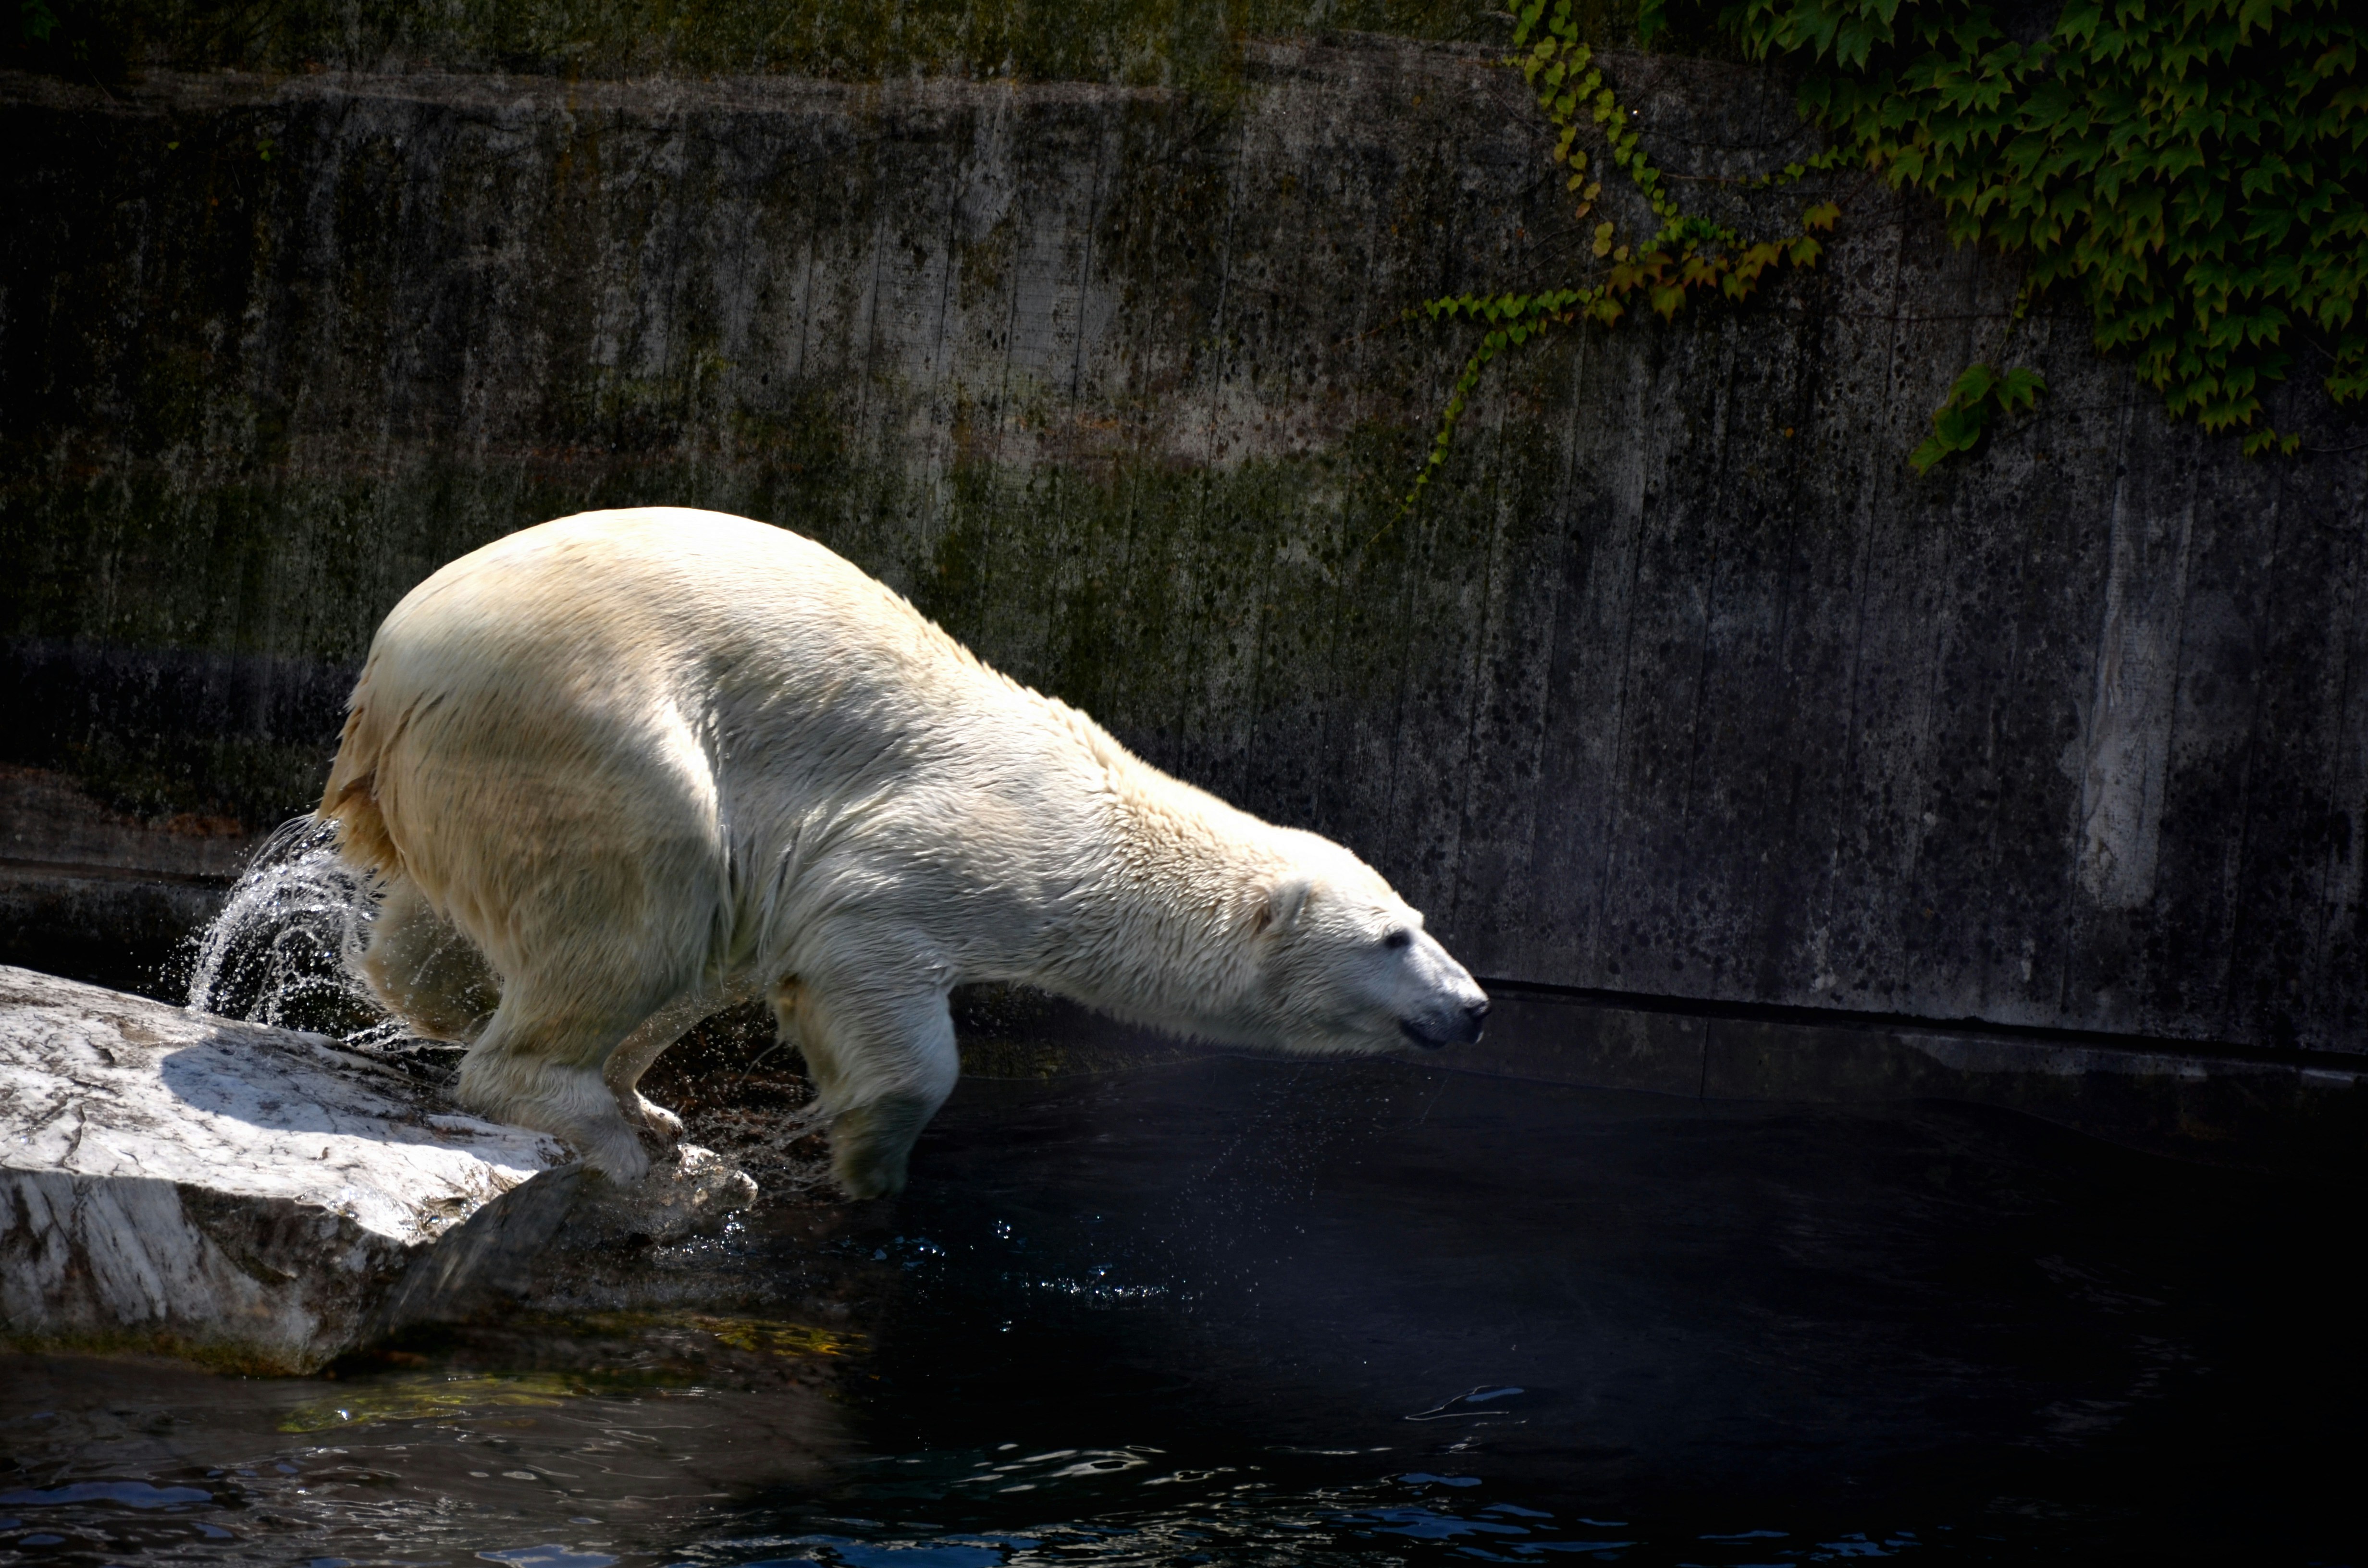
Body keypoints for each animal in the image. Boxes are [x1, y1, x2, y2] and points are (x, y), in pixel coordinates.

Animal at [319, 508, 1490, 1197]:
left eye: (1422, 920)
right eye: (1392, 938)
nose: (1475, 1006)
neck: (1097, 815)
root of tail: (391, 667)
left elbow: (748, 952)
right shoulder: (947, 852)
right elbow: (866, 962)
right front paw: (866, 1164)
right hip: (580, 728)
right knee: (648, 894)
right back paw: (601, 1128)